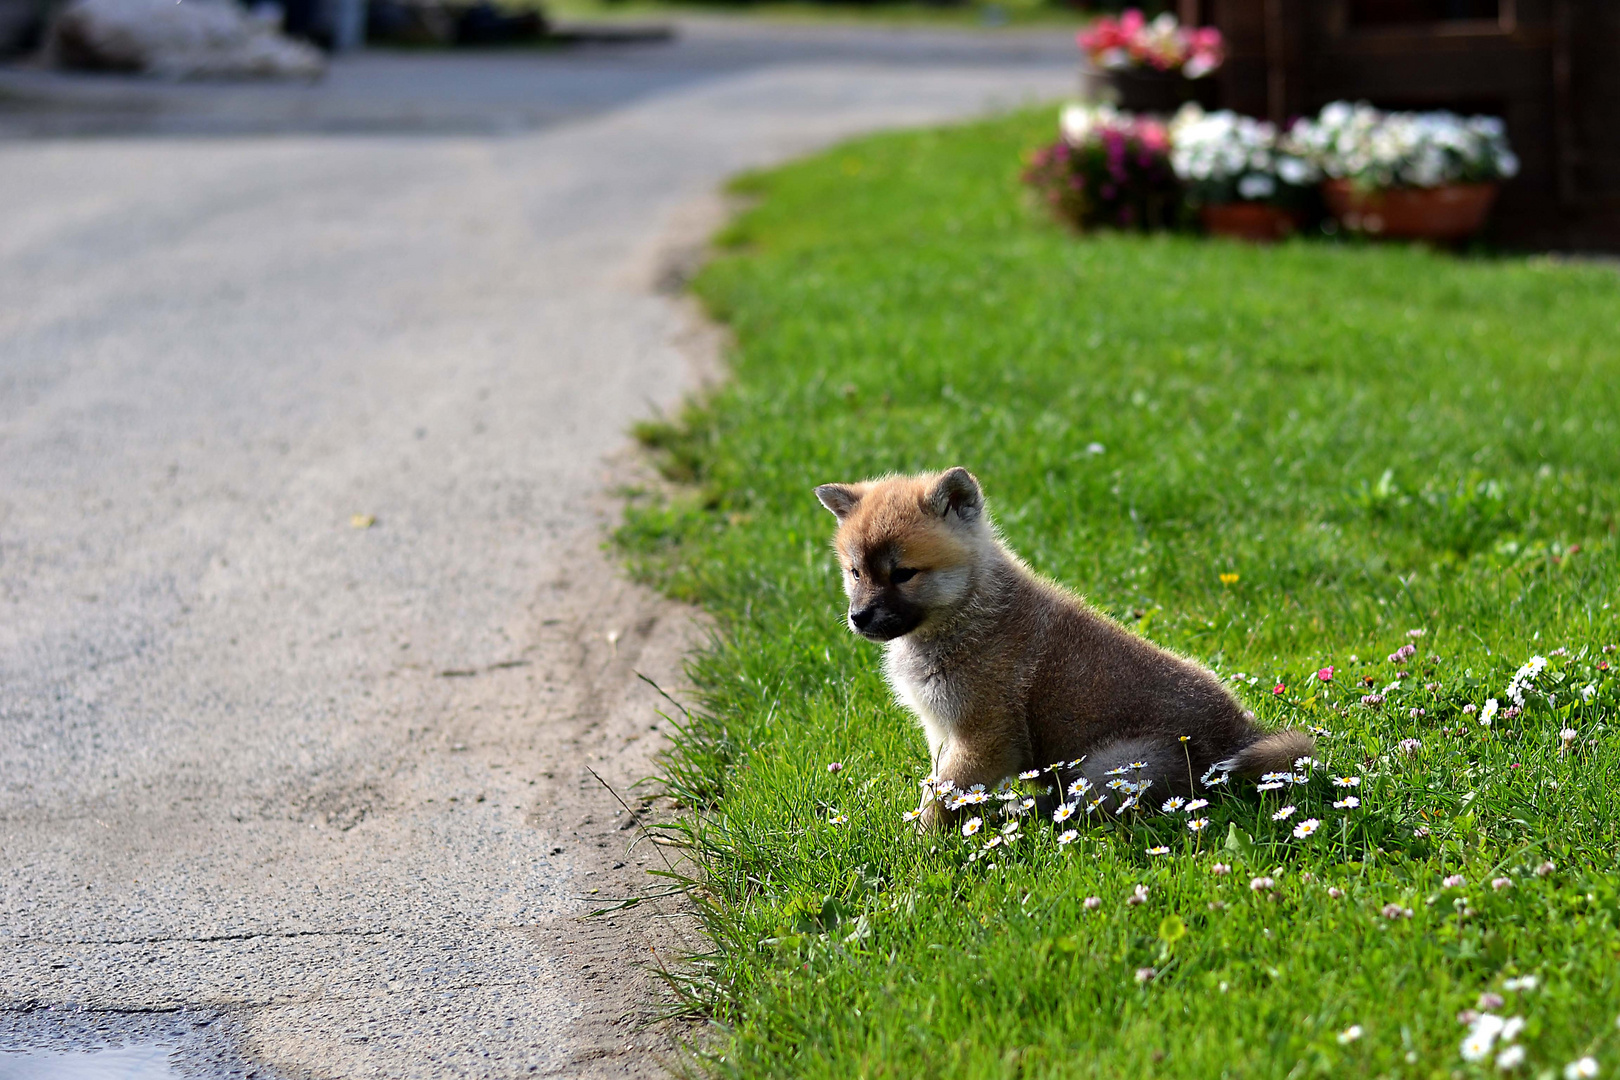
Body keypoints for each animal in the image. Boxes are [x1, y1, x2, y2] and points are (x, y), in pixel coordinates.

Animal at [816, 466, 1308, 829]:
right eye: (856, 572)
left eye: (903, 574)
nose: (859, 617)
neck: (969, 612)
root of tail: (1240, 733)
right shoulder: (944, 732)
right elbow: (937, 786)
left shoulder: (985, 737)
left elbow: (940, 799)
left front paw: (921, 843)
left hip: (1107, 769)